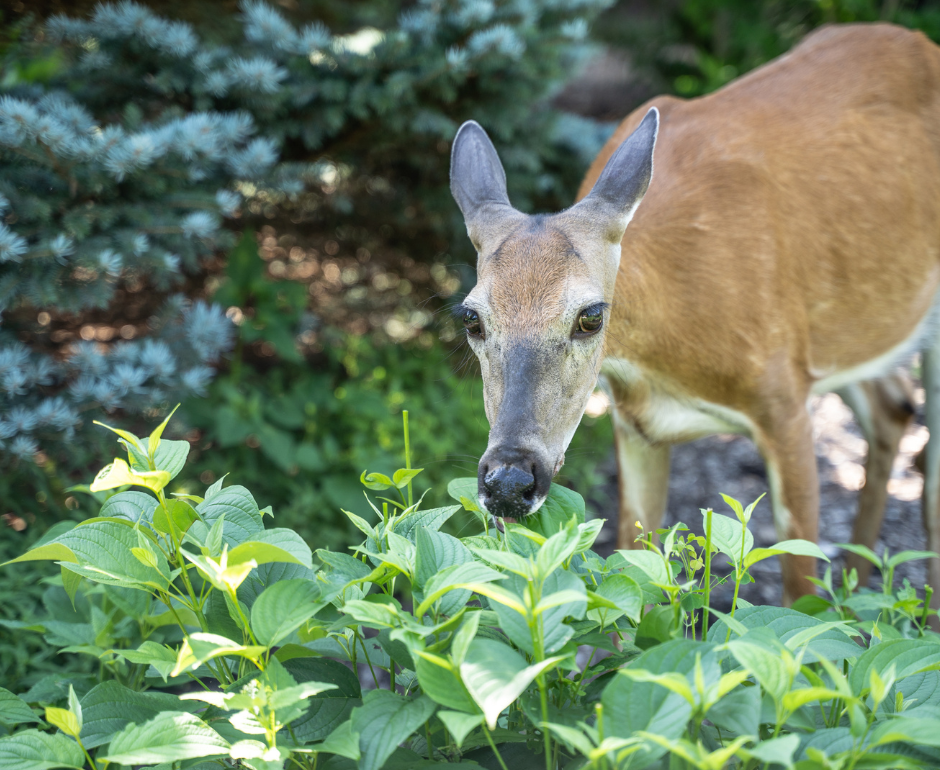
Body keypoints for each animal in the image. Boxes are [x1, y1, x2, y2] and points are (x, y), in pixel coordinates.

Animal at [448, 22, 940, 610]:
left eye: (591, 316)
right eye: (471, 318)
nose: (509, 482)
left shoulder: (785, 400)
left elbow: (800, 595)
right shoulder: (634, 424)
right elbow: (634, 572)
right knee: (893, 408)